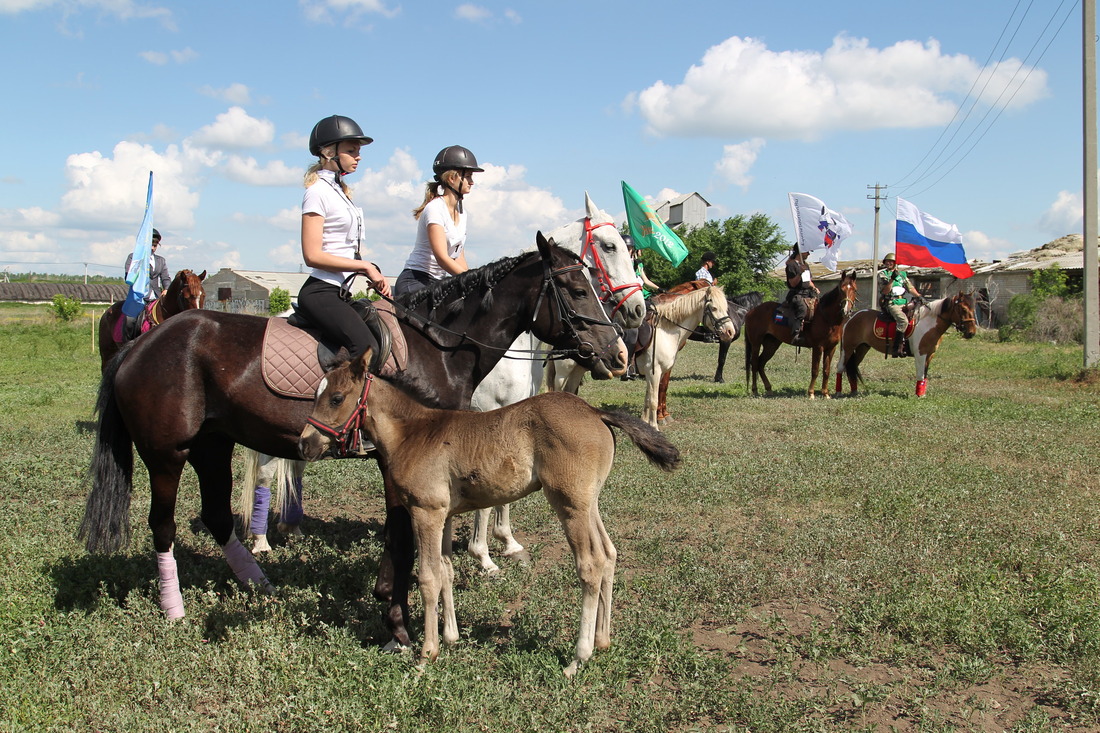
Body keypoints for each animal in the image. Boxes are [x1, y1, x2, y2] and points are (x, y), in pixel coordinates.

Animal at [79, 235, 629, 651]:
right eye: (577, 288)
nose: (619, 354)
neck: (438, 347)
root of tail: (140, 345)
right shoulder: (397, 462)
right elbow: (403, 542)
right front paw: (398, 625)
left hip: (212, 445)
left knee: (215, 516)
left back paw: (260, 583)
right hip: (167, 454)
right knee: (163, 524)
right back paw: (174, 607)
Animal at [299, 347, 677, 673]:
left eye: (336, 398)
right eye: (316, 395)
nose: (305, 443)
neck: (414, 433)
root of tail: (594, 411)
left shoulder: (426, 512)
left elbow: (427, 577)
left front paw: (427, 654)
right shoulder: (446, 514)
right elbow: (446, 570)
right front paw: (450, 637)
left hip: (569, 504)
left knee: (591, 564)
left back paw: (578, 657)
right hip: (588, 503)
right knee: (610, 554)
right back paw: (602, 641)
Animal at [633, 281, 734, 424]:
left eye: (725, 307)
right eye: (714, 308)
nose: (730, 332)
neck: (665, 331)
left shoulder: (657, 371)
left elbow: (655, 393)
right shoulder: (654, 370)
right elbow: (655, 396)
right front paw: (659, 420)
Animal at [739, 265, 858, 396]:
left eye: (854, 290)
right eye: (841, 290)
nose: (846, 310)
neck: (826, 317)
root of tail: (751, 312)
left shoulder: (831, 348)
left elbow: (826, 370)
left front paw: (825, 393)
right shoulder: (818, 347)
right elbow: (815, 370)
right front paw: (811, 393)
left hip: (771, 344)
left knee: (761, 363)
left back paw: (768, 388)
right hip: (756, 343)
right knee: (754, 363)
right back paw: (755, 390)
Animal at [831, 290, 981, 396]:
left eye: (973, 309)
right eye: (963, 309)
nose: (971, 332)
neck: (929, 322)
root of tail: (851, 316)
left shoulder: (930, 355)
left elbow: (925, 375)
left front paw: (922, 393)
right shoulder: (921, 354)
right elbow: (920, 374)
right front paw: (919, 395)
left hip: (862, 347)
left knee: (852, 367)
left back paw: (854, 390)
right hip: (847, 348)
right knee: (840, 367)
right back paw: (838, 392)